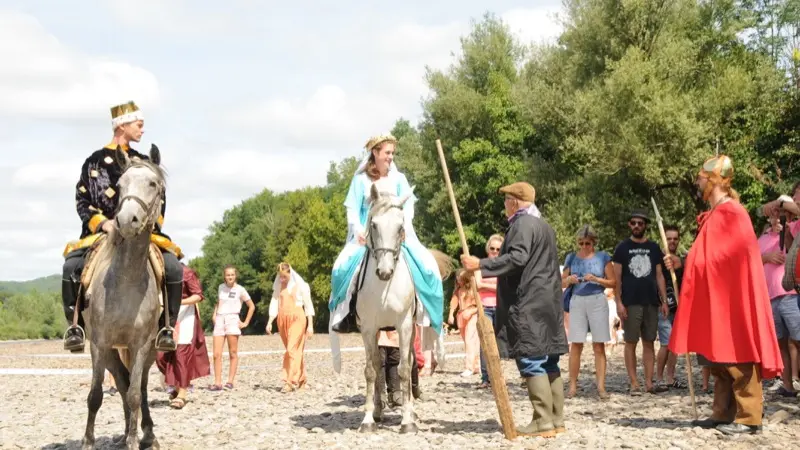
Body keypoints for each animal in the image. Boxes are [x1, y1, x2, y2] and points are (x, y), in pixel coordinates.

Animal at [81, 147, 167, 450]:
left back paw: (147, 434)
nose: (127, 221)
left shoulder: (140, 344)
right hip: (110, 351)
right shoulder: (100, 343)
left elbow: (134, 394)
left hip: (149, 349)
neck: (126, 279)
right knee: (121, 381)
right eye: (120, 185)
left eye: (153, 184)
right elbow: (96, 394)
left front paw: (133, 439)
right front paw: (88, 442)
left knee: (137, 386)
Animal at [354, 182, 450, 432]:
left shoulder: (404, 325)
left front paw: (407, 421)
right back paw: (378, 411)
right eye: (374, 225)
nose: (385, 271)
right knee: (378, 366)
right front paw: (368, 420)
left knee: (410, 362)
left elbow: (405, 369)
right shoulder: (368, 328)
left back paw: (411, 411)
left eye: (400, 227)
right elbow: (371, 371)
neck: (384, 287)